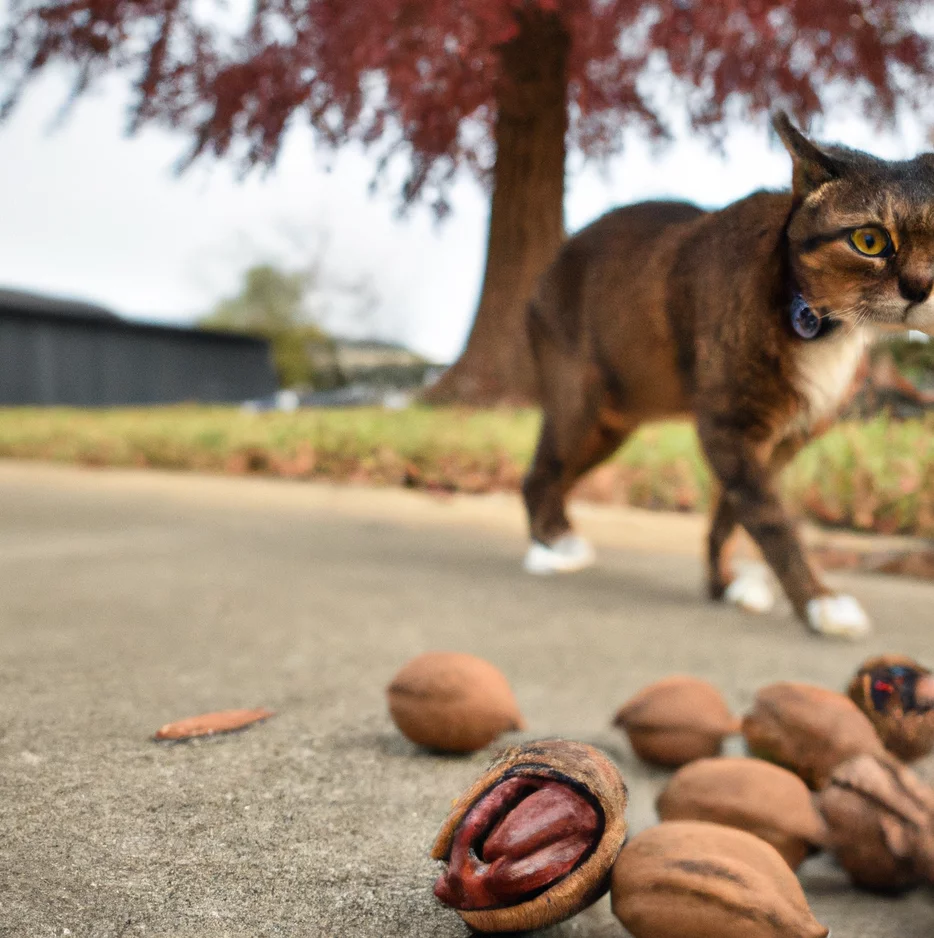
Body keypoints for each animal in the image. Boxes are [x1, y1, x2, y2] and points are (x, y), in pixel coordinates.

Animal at [520, 109, 934, 636]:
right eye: (870, 241)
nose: (921, 288)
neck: (825, 330)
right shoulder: (729, 429)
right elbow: (771, 519)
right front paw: (820, 602)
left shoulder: (781, 441)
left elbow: (731, 514)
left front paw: (723, 585)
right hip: (579, 407)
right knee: (538, 475)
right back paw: (548, 550)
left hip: (612, 426)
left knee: (558, 476)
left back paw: (559, 537)